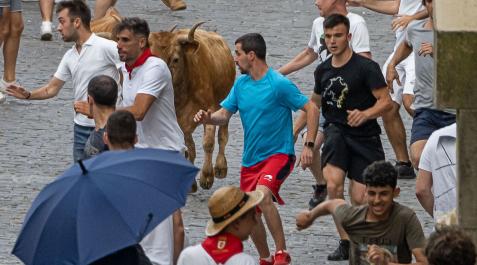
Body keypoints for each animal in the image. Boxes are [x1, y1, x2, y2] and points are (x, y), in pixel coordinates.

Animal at [149, 21, 234, 189]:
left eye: (175, 59)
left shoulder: (209, 109)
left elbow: (208, 143)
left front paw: (206, 176)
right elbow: (189, 147)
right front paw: (190, 184)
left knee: (222, 136)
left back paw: (220, 167)